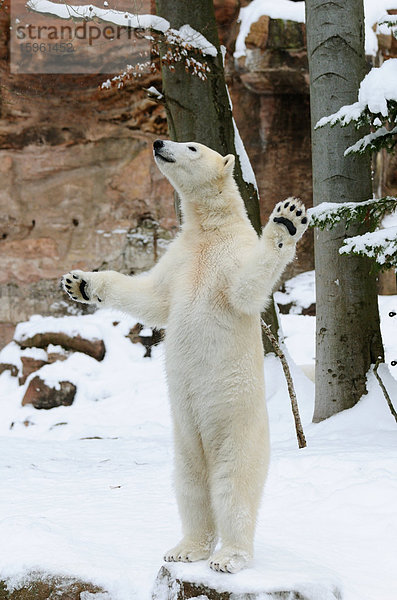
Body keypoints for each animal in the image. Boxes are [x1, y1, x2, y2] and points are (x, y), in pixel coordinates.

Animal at [61, 138, 306, 576]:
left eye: (192, 146)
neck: (210, 230)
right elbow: (152, 298)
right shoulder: (181, 260)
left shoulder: (232, 255)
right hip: (185, 431)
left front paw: (287, 219)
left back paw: (229, 556)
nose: (159, 142)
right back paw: (187, 548)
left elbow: (246, 289)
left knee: (234, 483)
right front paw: (80, 283)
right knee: (190, 482)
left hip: (238, 421)